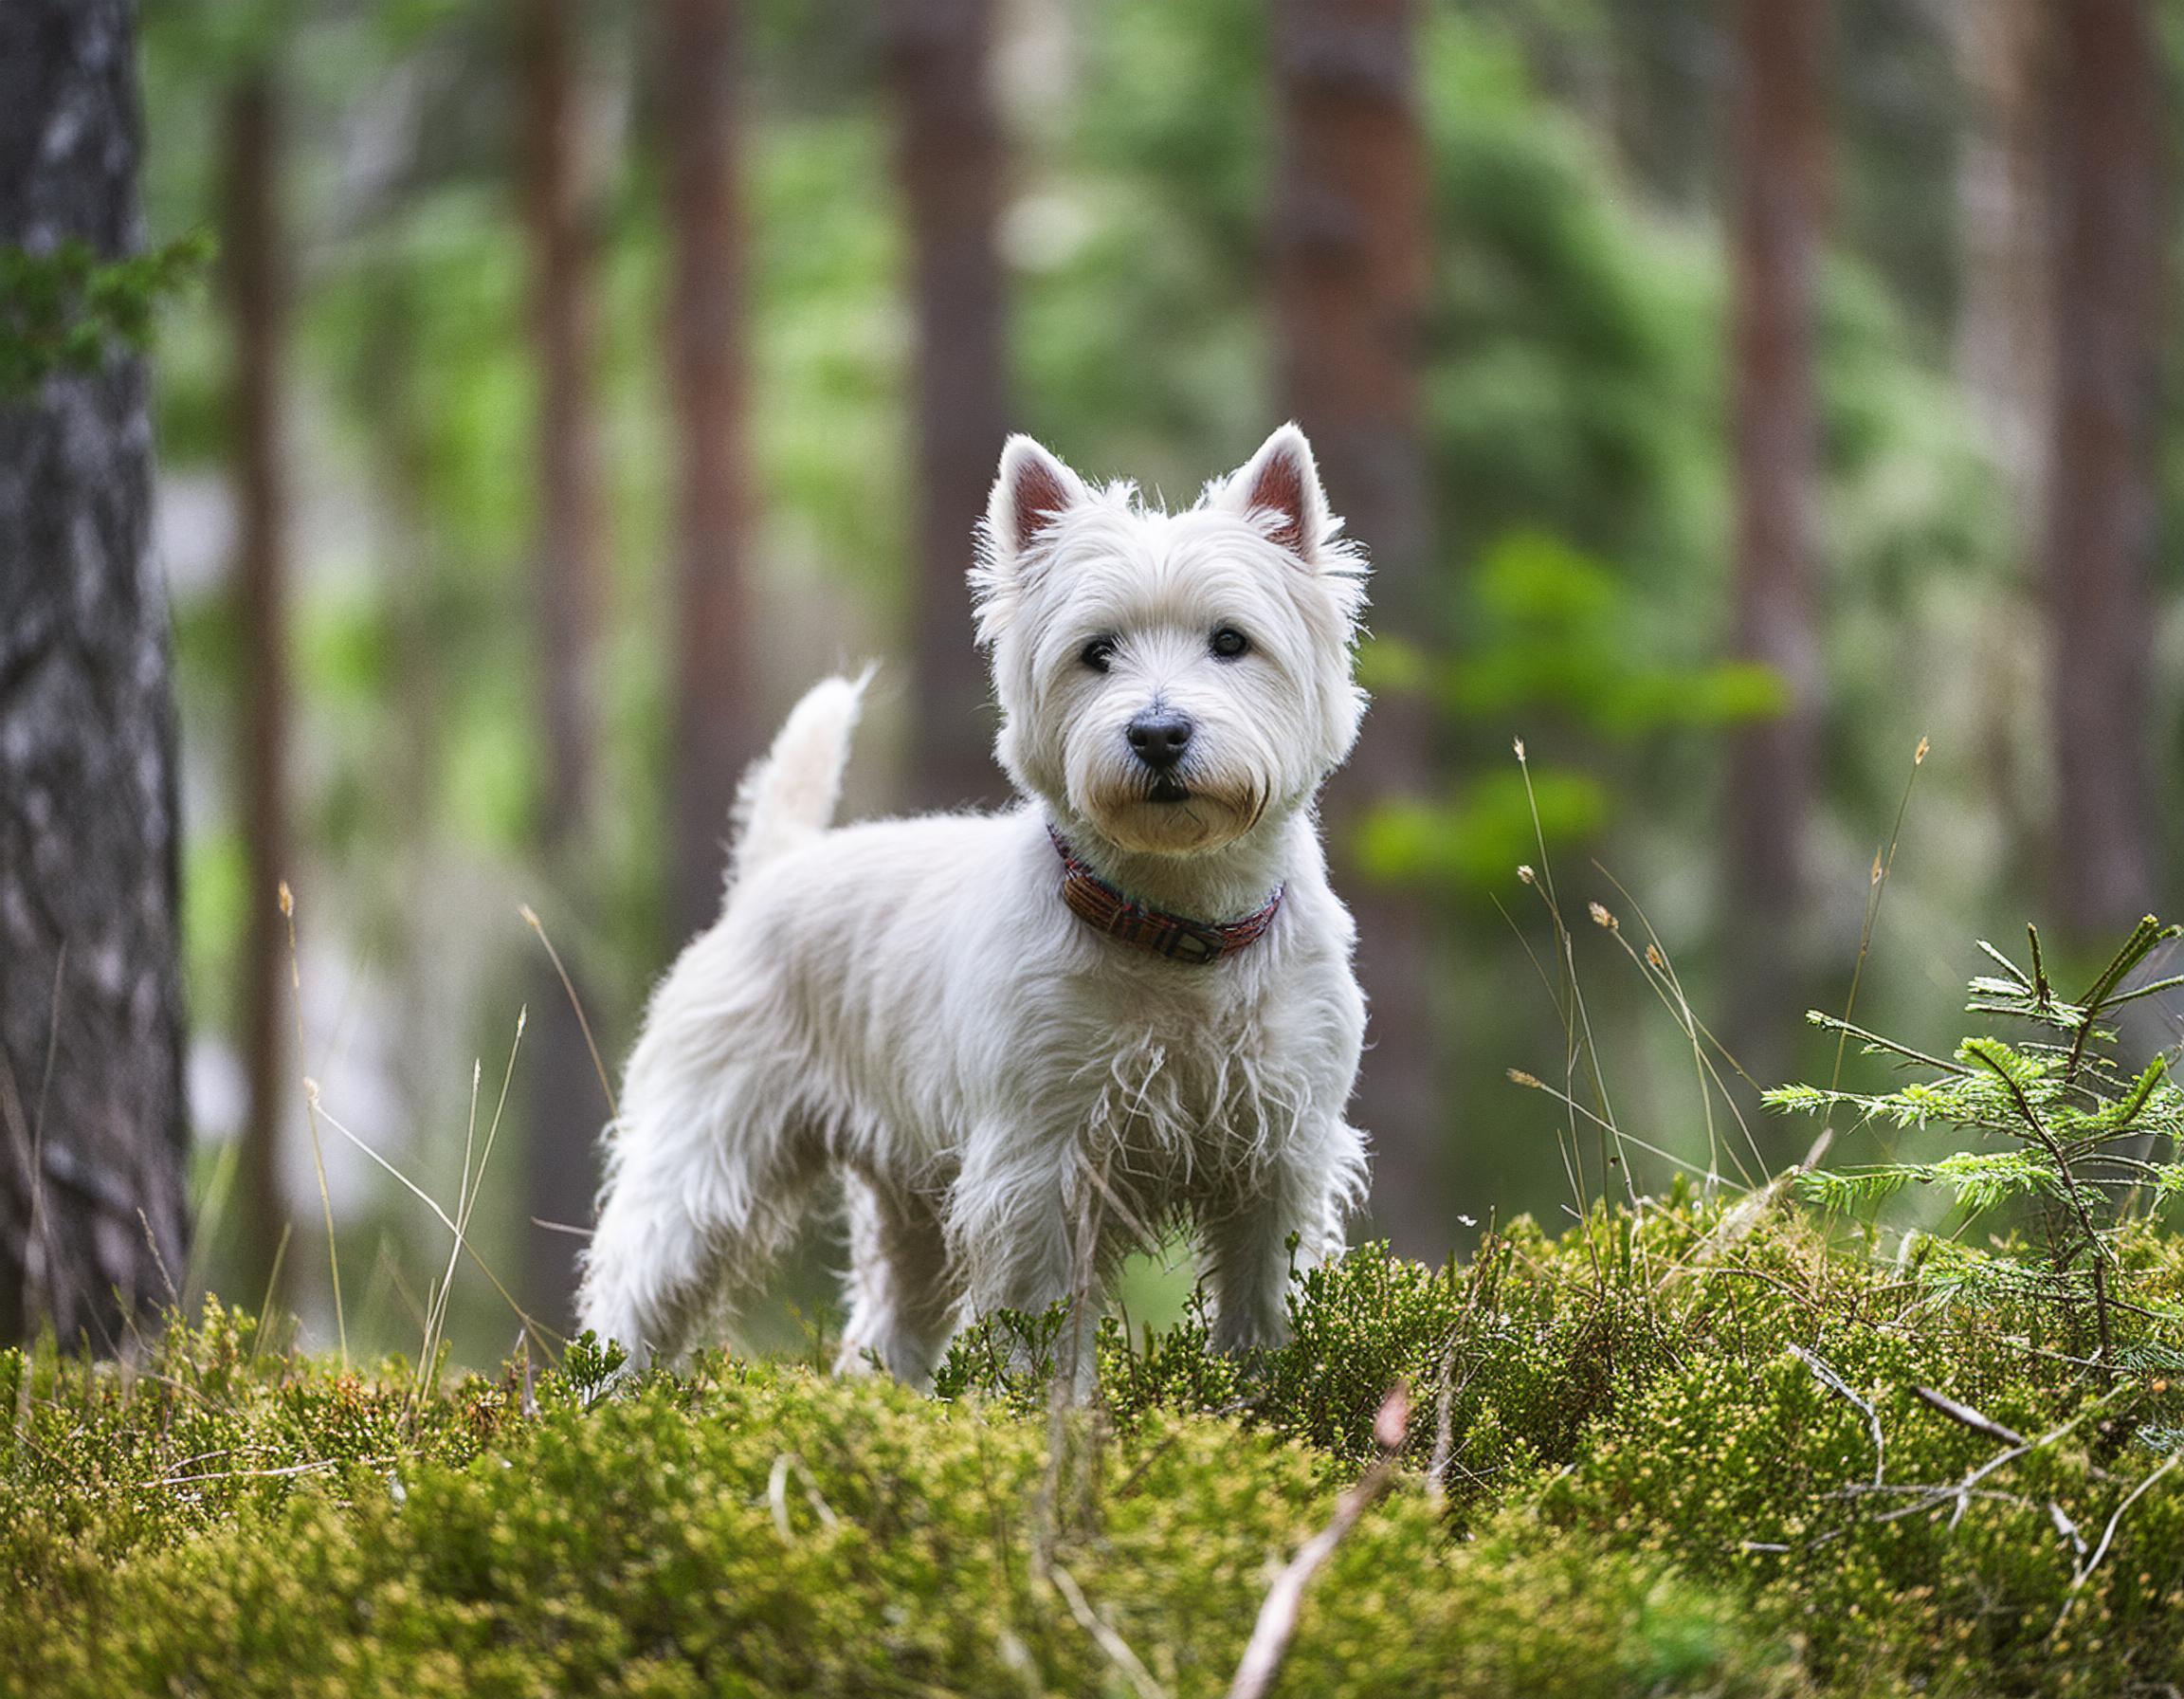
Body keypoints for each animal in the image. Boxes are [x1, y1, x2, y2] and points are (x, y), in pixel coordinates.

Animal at [576, 419, 1362, 1379]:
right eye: (1096, 651)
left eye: (1230, 641)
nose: (1158, 733)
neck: (1177, 923)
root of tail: (770, 873)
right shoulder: (1039, 1163)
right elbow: (1043, 1325)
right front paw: (1055, 1412)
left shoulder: (1282, 1156)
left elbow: (1264, 1308)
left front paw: (1260, 1399)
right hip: (705, 1163)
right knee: (635, 1295)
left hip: (911, 1203)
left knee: (881, 1338)